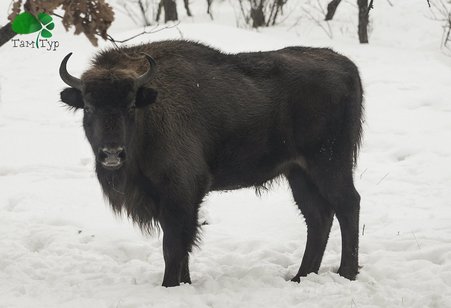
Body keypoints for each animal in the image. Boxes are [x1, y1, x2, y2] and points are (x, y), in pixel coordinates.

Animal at [59, 39, 364, 288]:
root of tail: (348, 67)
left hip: (329, 164)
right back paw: (301, 276)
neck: (151, 111)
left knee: (348, 205)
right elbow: (182, 249)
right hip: (299, 173)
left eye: (131, 106)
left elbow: (174, 247)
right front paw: (184, 283)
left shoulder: (180, 195)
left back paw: (346, 273)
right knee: (318, 216)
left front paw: (170, 286)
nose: (112, 154)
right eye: (88, 107)